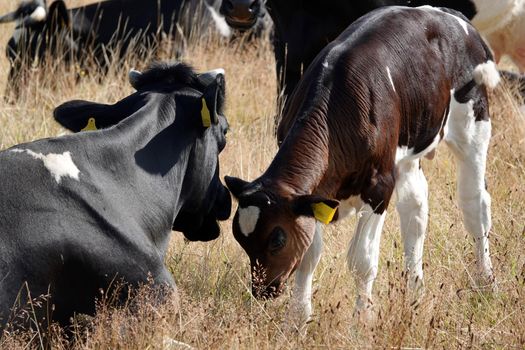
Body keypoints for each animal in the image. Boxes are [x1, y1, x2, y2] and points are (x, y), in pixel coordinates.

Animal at [223, 5, 498, 328]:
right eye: (240, 239)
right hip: (408, 150)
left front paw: (363, 317)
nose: (262, 290)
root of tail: (447, 14)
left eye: (277, 239)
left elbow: (362, 260)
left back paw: (485, 281)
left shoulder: (379, 186)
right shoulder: (313, 197)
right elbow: (309, 255)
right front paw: (298, 318)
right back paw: (415, 290)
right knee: (415, 207)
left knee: (475, 205)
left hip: (474, 124)